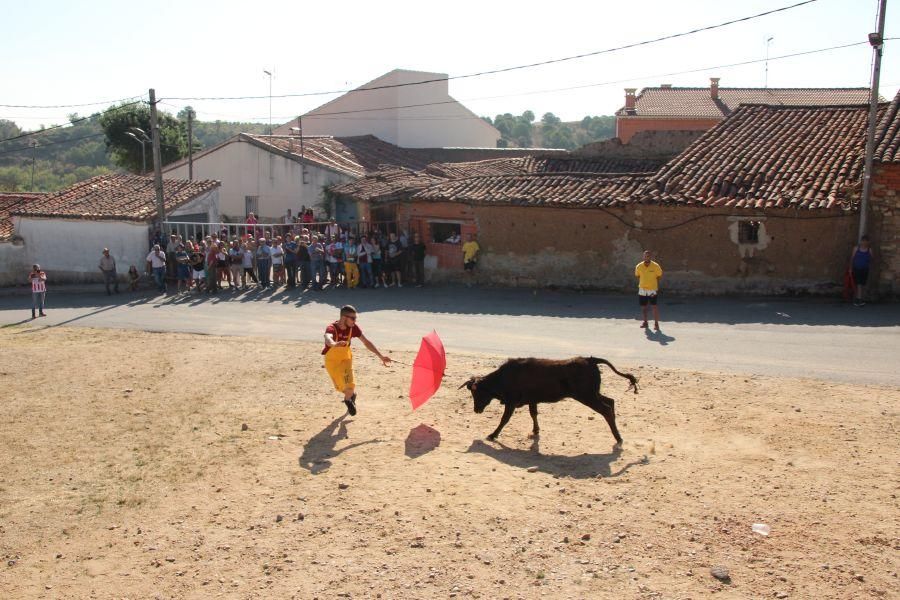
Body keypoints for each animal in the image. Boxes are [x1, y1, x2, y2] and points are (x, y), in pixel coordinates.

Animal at [464, 356, 640, 446]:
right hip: (592, 393)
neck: (502, 378)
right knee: (611, 401)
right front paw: (536, 431)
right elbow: (533, 413)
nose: (476, 410)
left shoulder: (511, 401)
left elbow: (504, 419)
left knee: (606, 409)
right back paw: (617, 434)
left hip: (587, 396)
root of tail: (590, 360)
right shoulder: (532, 399)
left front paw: (492, 435)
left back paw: (618, 438)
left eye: (476, 392)